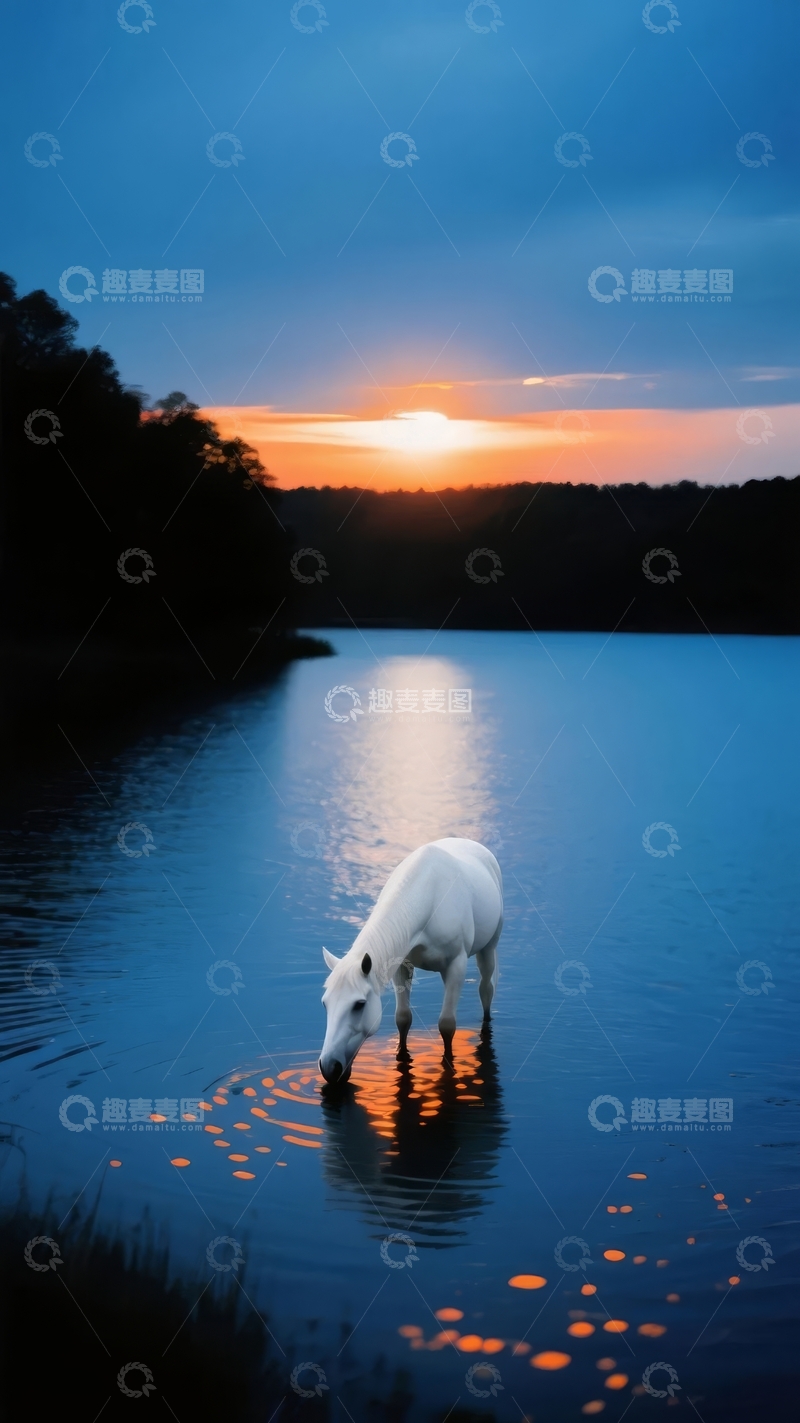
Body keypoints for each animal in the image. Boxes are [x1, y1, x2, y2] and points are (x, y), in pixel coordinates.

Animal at [318, 838, 503, 1084]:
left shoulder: (457, 964)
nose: (329, 1067)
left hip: (490, 945)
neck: (428, 897)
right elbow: (403, 1018)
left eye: (359, 1005)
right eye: (325, 1004)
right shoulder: (400, 965)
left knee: (486, 989)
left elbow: (447, 1025)